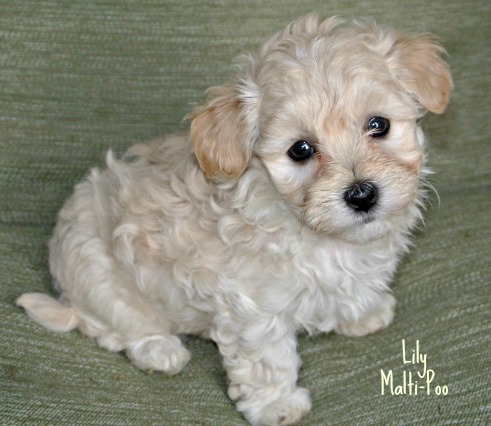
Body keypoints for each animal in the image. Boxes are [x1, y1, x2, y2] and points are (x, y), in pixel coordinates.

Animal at [16, 15, 454, 426]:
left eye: (379, 125)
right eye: (300, 150)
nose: (362, 195)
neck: (314, 232)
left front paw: (363, 312)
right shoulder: (252, 308)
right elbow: (267, 359)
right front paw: (277, 405)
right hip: (100, 278)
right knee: (113, 327)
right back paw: (160, 350)